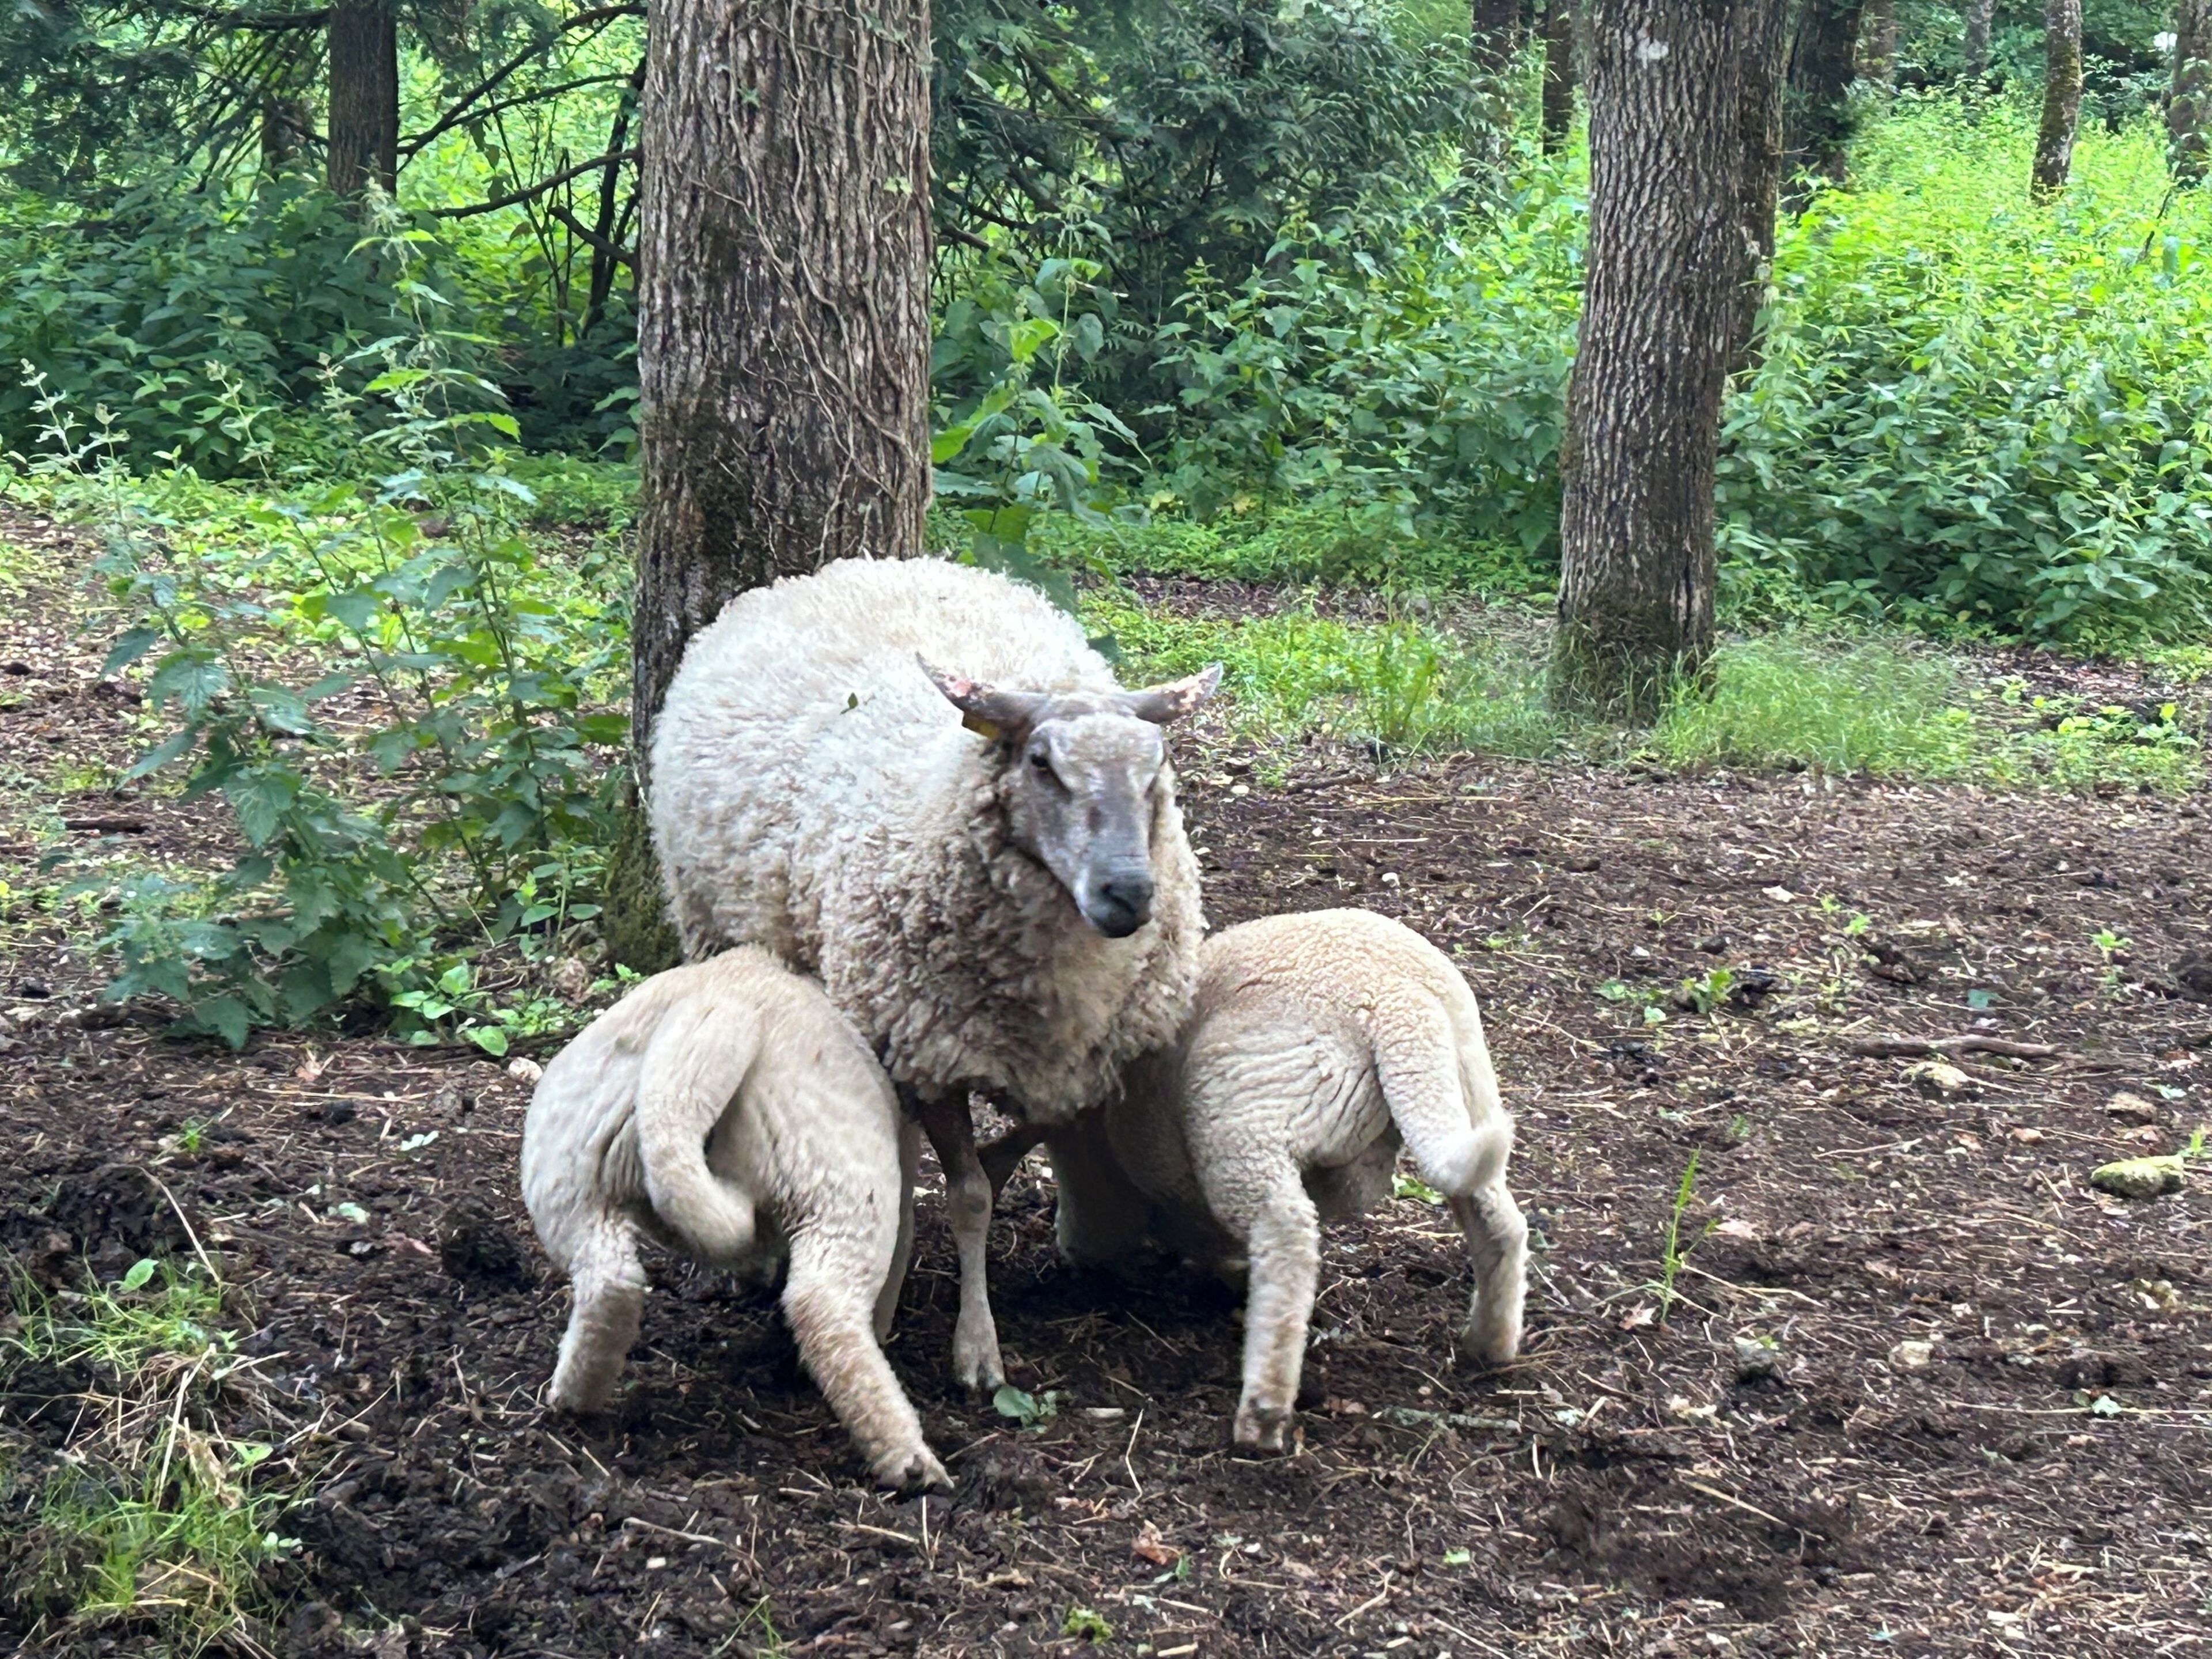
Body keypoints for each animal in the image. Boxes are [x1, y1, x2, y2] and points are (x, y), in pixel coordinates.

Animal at [520, 947, 948, 1491]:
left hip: (567, 1181)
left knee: (609, 1284)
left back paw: (573, 1398)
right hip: (841, 1185)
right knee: (823, 1308)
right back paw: (910, 1462)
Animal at [648, 556, 1219, 1393]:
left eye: (1158, 768)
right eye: (1041, 763)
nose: (1128, 893)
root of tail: (857, 567)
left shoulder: (1081, 1059)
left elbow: (1010, 1152)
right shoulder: (931, 1050)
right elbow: (972, 1197)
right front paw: (976, 1350)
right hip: (717, 927)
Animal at [1036, 908, 1528, 1452]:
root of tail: (1397, 998)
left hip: (1244, 1115)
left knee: (1286, 1241)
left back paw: (1262, 1415)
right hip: (1468, 1094)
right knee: (1499, 1224)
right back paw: (1490, 1345)